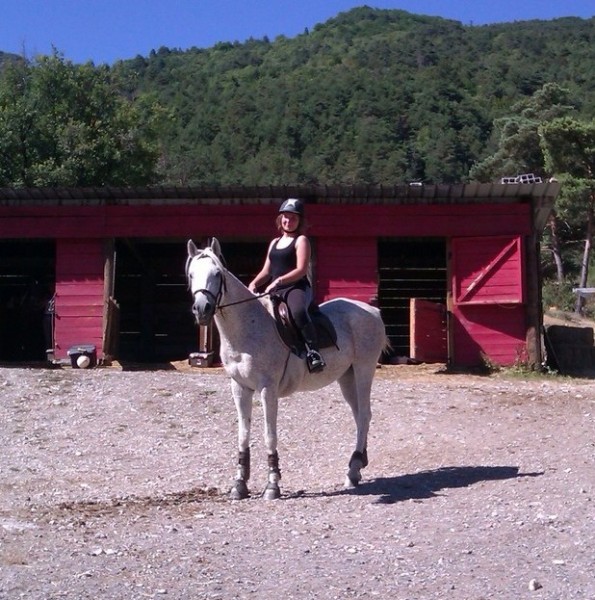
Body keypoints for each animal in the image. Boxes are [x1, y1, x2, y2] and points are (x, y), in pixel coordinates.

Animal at [189, 237, 388, 500]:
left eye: (217, 273)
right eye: (191, 274)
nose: (202, 308)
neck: (249, 327)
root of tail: (372, 311)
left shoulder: (267, 389)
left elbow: (269, 434)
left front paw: (272, 484)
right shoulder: (239, 387)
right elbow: (243, 434)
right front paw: (239, 484)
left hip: (364, 369)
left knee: (364, 413)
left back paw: (354, 467)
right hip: (347, 377)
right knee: (359, 416)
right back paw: (356, 466)